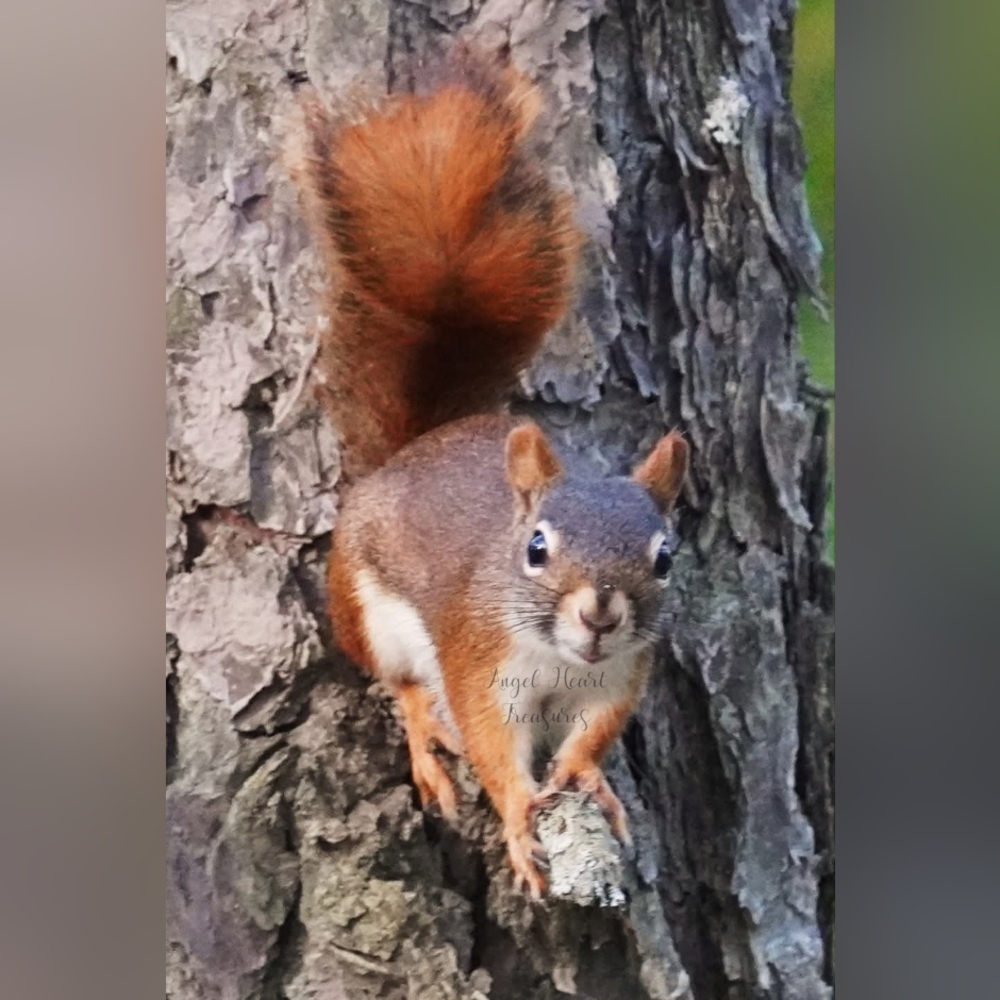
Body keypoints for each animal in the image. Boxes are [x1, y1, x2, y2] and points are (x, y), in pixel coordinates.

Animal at [286, 49, 690, 898]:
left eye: (665, 557)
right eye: (536, 548)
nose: (601, 615)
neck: (561, 661)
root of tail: (413, 450)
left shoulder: (619, 680)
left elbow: (591, 740)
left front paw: (585, 777)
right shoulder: (479, 665)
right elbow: (491, 745)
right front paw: (515, 816)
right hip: (363, 608)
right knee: (401, 682)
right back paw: (422, 736)